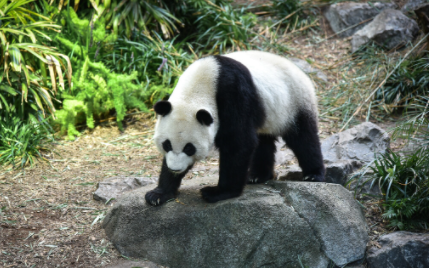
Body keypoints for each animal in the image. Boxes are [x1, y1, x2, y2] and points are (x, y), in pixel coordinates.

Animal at [145, 49, 322, 205]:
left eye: (189, 148)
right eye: (167, 145)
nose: (175, 168)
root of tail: (301, 72)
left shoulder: (234, 93)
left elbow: (238, 143)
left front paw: (218, 192)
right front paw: (159, 194)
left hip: (295, 101)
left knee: (303, 137)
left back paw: (313, 175)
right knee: (263, 140)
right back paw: (258, 176)